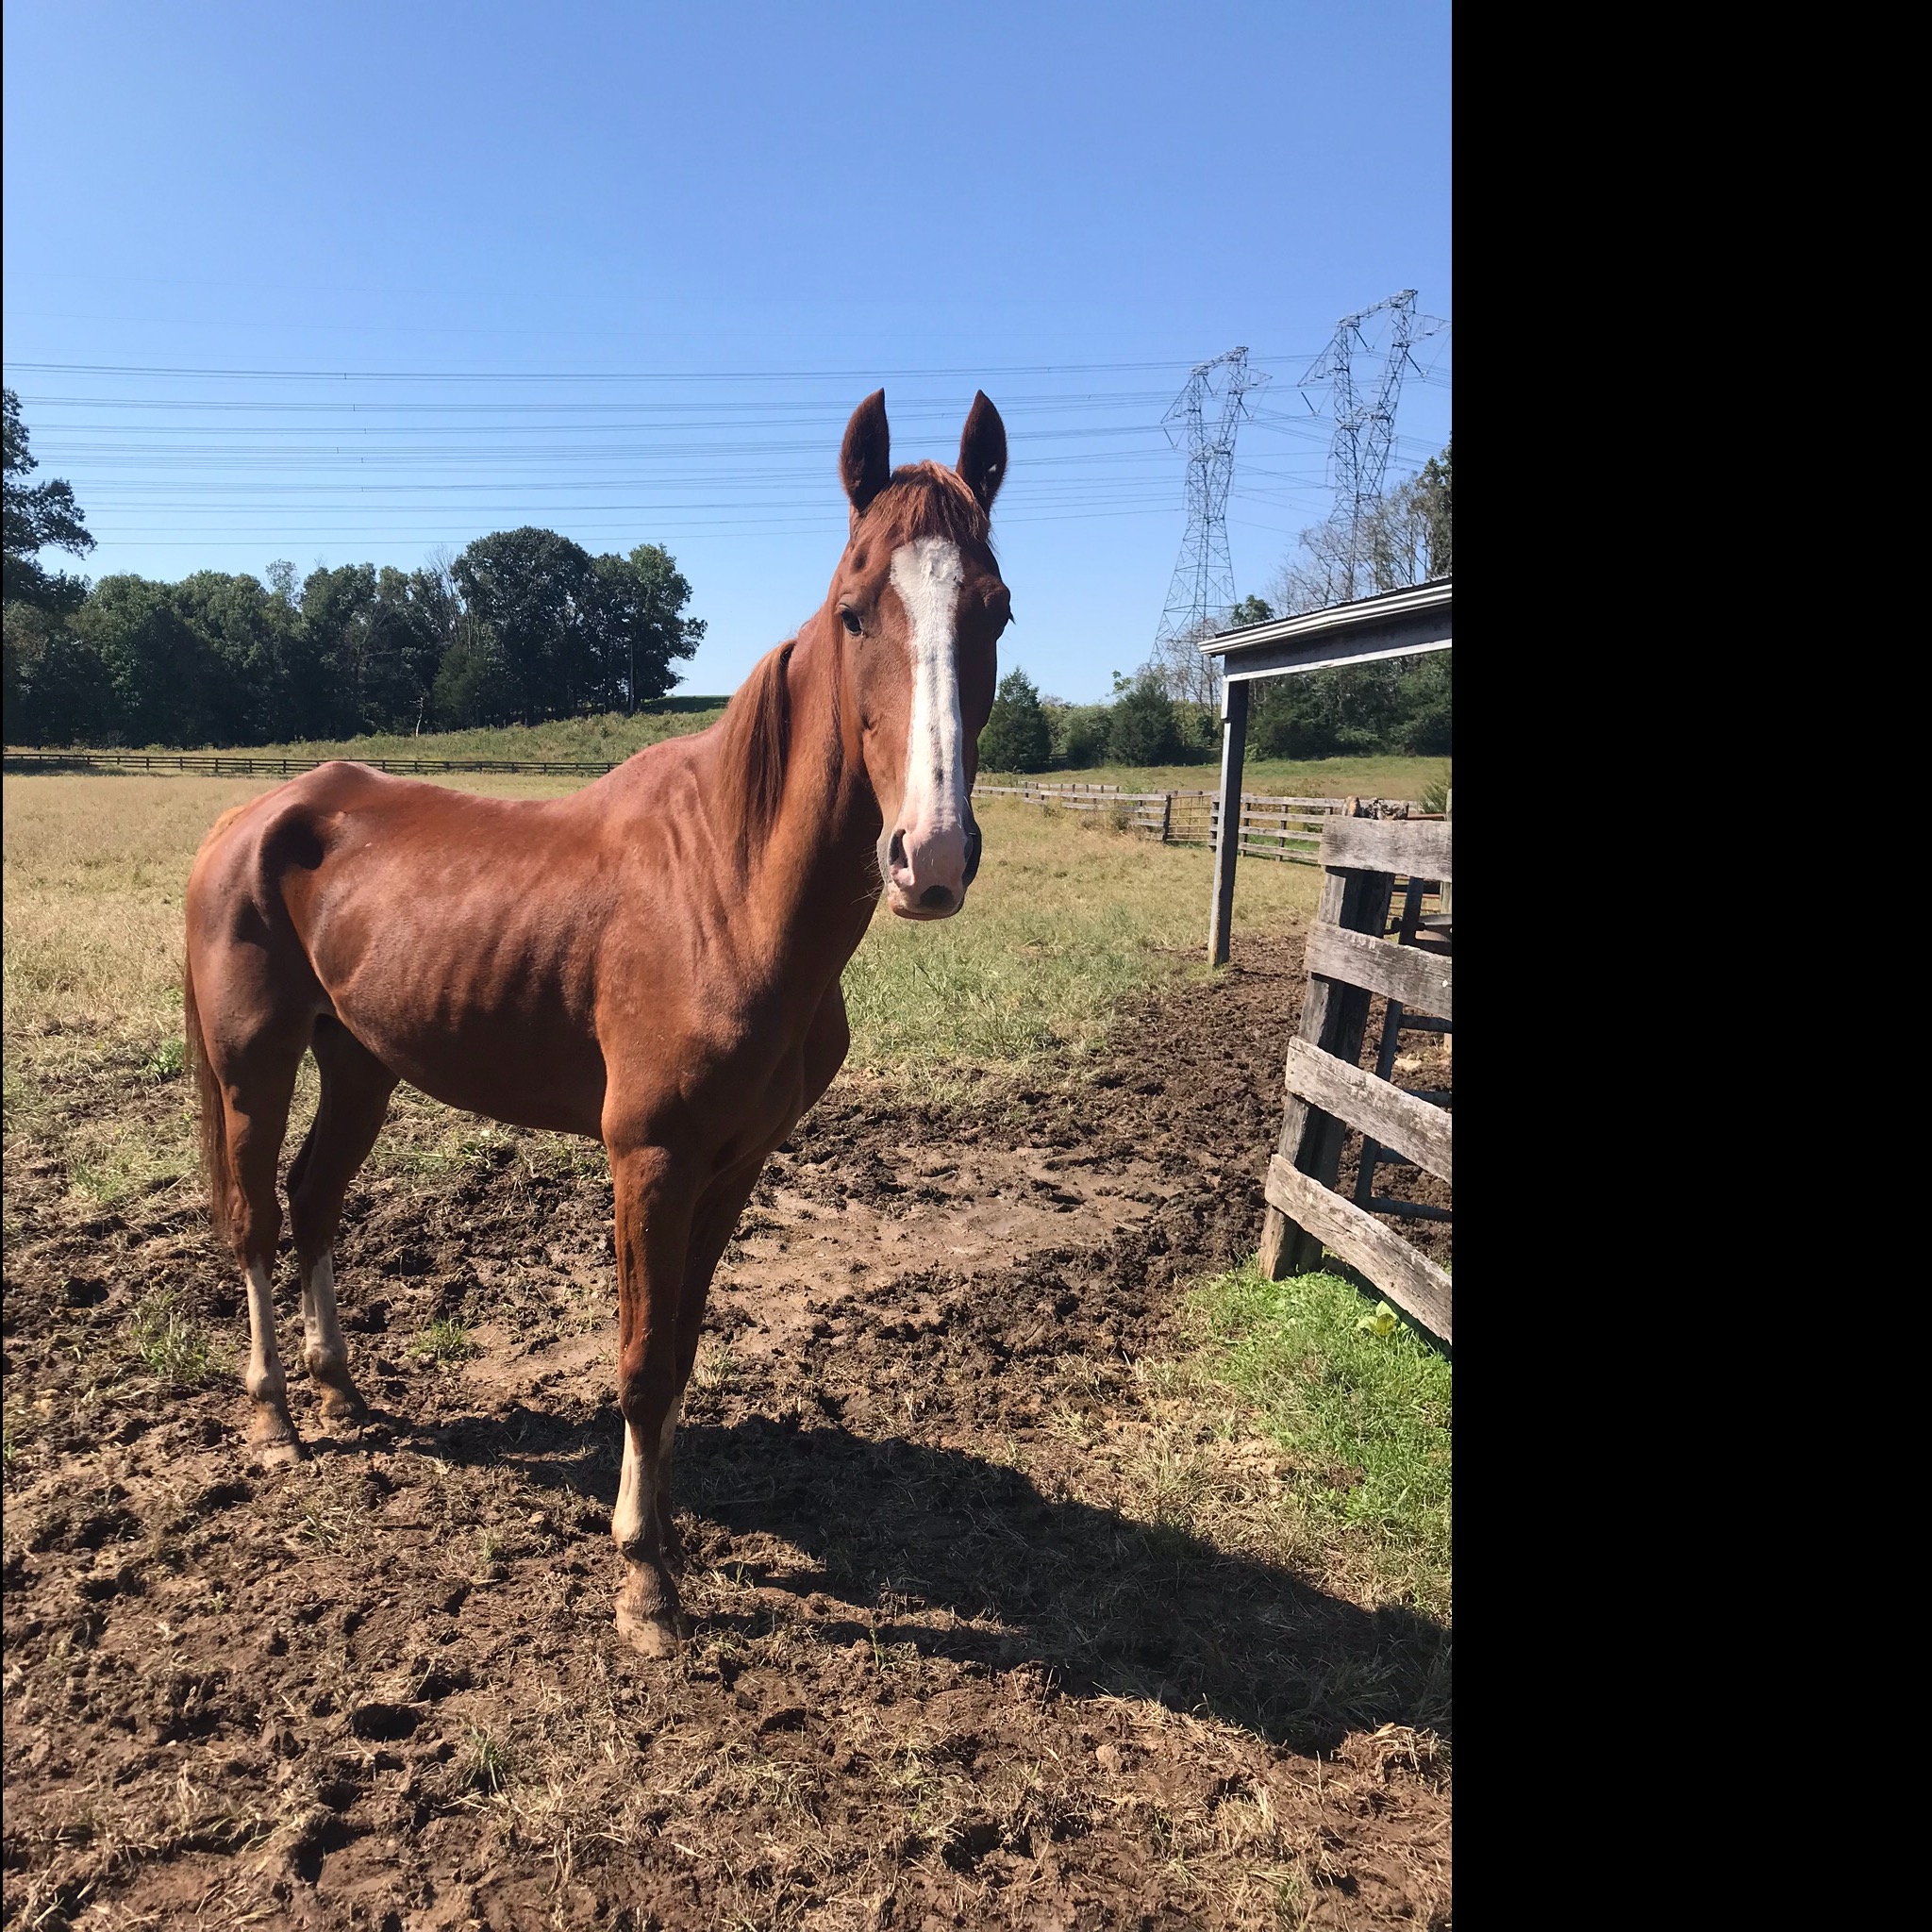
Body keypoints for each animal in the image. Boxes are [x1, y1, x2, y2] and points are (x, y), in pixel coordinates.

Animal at [181, 389, 1010, 1656]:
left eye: (995, 609)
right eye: (855, 609)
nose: (932, 855)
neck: (727, 886)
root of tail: (252, 815)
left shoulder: (733, 1162)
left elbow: (679, 1352)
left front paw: (665, 1531)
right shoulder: (649, 1158)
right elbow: (636, 1360)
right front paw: (641, 1578)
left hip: (360, 1063)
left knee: (314, 1201)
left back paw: (341, 1391)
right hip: (251, 1066)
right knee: (254, 1222)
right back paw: (276, 1419)